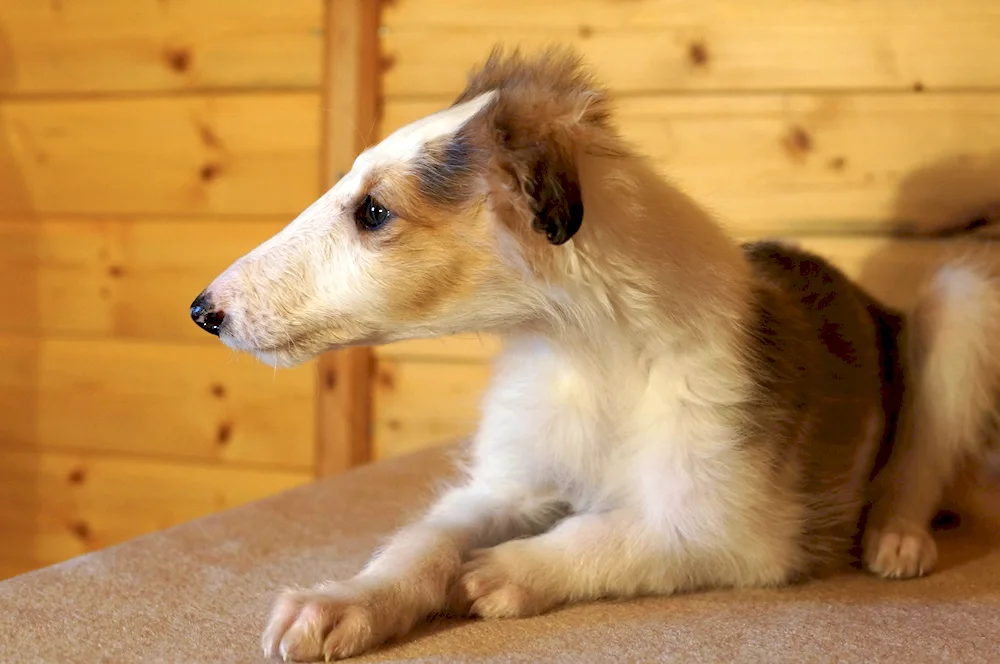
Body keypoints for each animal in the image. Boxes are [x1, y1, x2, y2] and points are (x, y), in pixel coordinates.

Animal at [189, 49, 1000, 660]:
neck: (588, 356)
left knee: (920, 462)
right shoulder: (506, 483)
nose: (204, 311)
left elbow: (608, 531)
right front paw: (337, 604)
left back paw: (897, 538)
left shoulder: (736, 530)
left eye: (374, 211)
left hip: (959, 301)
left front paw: (501, 572)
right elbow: (423, 540)